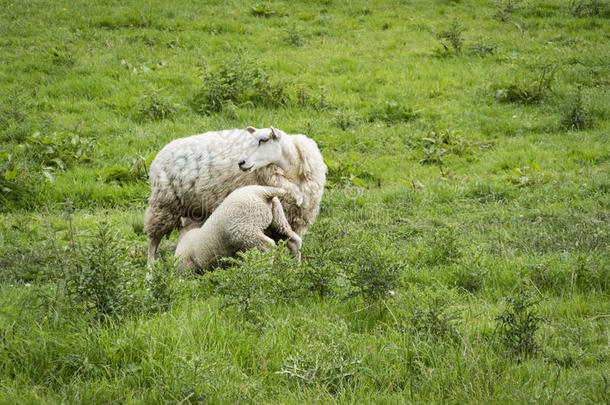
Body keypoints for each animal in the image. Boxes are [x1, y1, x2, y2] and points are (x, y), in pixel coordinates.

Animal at [173, 185, 302, 274]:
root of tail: (263, 192)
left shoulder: (185, 263)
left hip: (246, 230)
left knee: (268, 246)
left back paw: (265, 267)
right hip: (277, 222)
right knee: (294, 241)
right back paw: (295, 265)